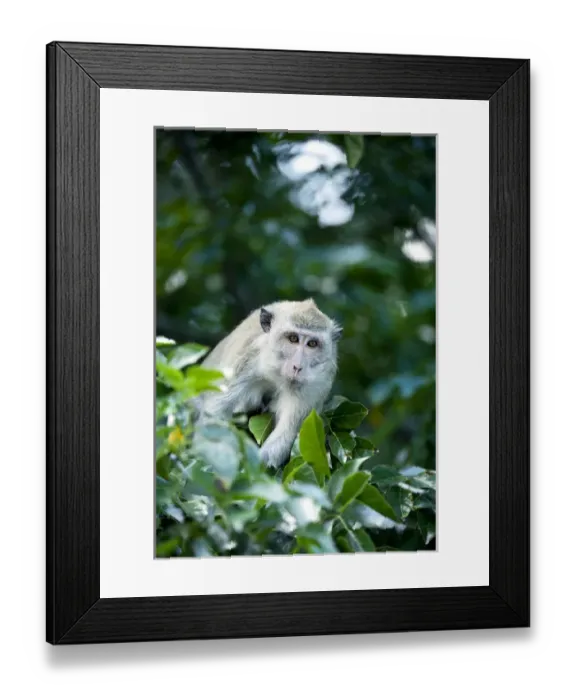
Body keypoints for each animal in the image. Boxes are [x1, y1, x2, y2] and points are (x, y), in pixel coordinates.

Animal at [195, 298, 342, 468]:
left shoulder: (317, 384)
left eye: (312, 344)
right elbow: (214, 414)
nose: (297, 367)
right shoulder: (246, 358)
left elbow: (285, 434)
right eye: (293, 338)